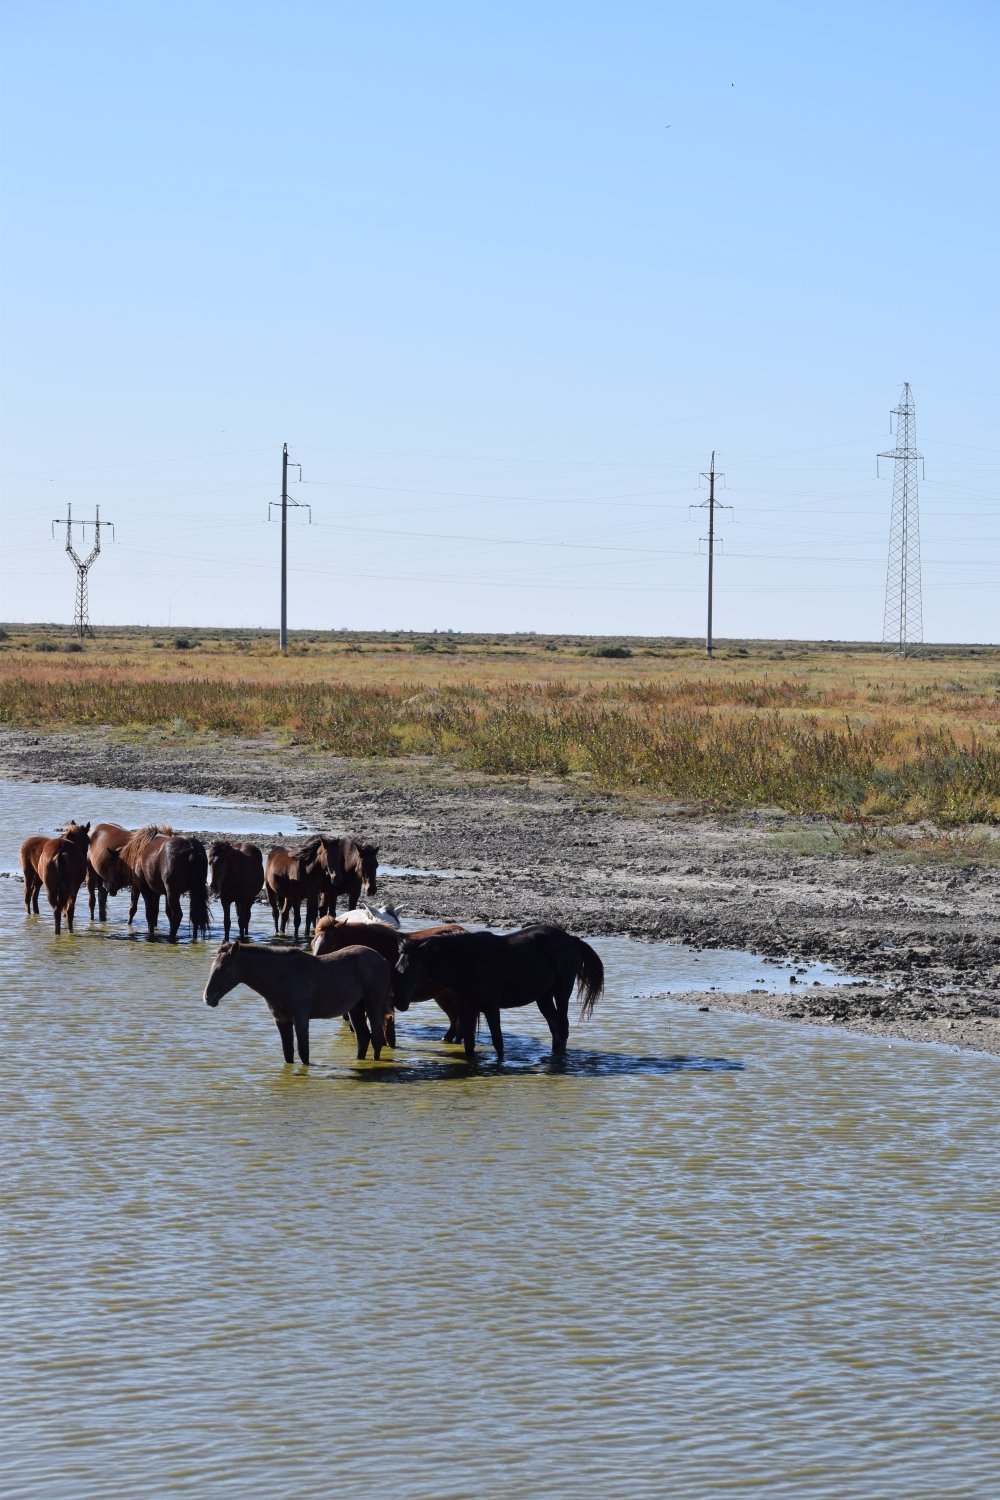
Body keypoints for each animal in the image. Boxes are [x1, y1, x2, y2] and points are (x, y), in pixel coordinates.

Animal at [203, 940, 393, 1064]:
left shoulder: (301, 1017)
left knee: (376, 1039)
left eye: (223, 969)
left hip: (373, 1003)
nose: (207, 998)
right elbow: (288, 1054)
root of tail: (383, 960)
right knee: (363, 1038)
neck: (278, 979)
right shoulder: (281, 1020)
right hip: (355, 1008)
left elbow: (304, 1053)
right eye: (211, 966)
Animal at [393, 923, 604, 1062]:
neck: (468, 962)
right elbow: (469, 1045)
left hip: (561, 992)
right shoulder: (466, 1009)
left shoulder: (491, 1008)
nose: (399, 1002)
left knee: (562, 1027)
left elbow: (498, 1042)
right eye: (397, 967)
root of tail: (572, 940)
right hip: (543, 998)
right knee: (555, 1028)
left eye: (410, 969)